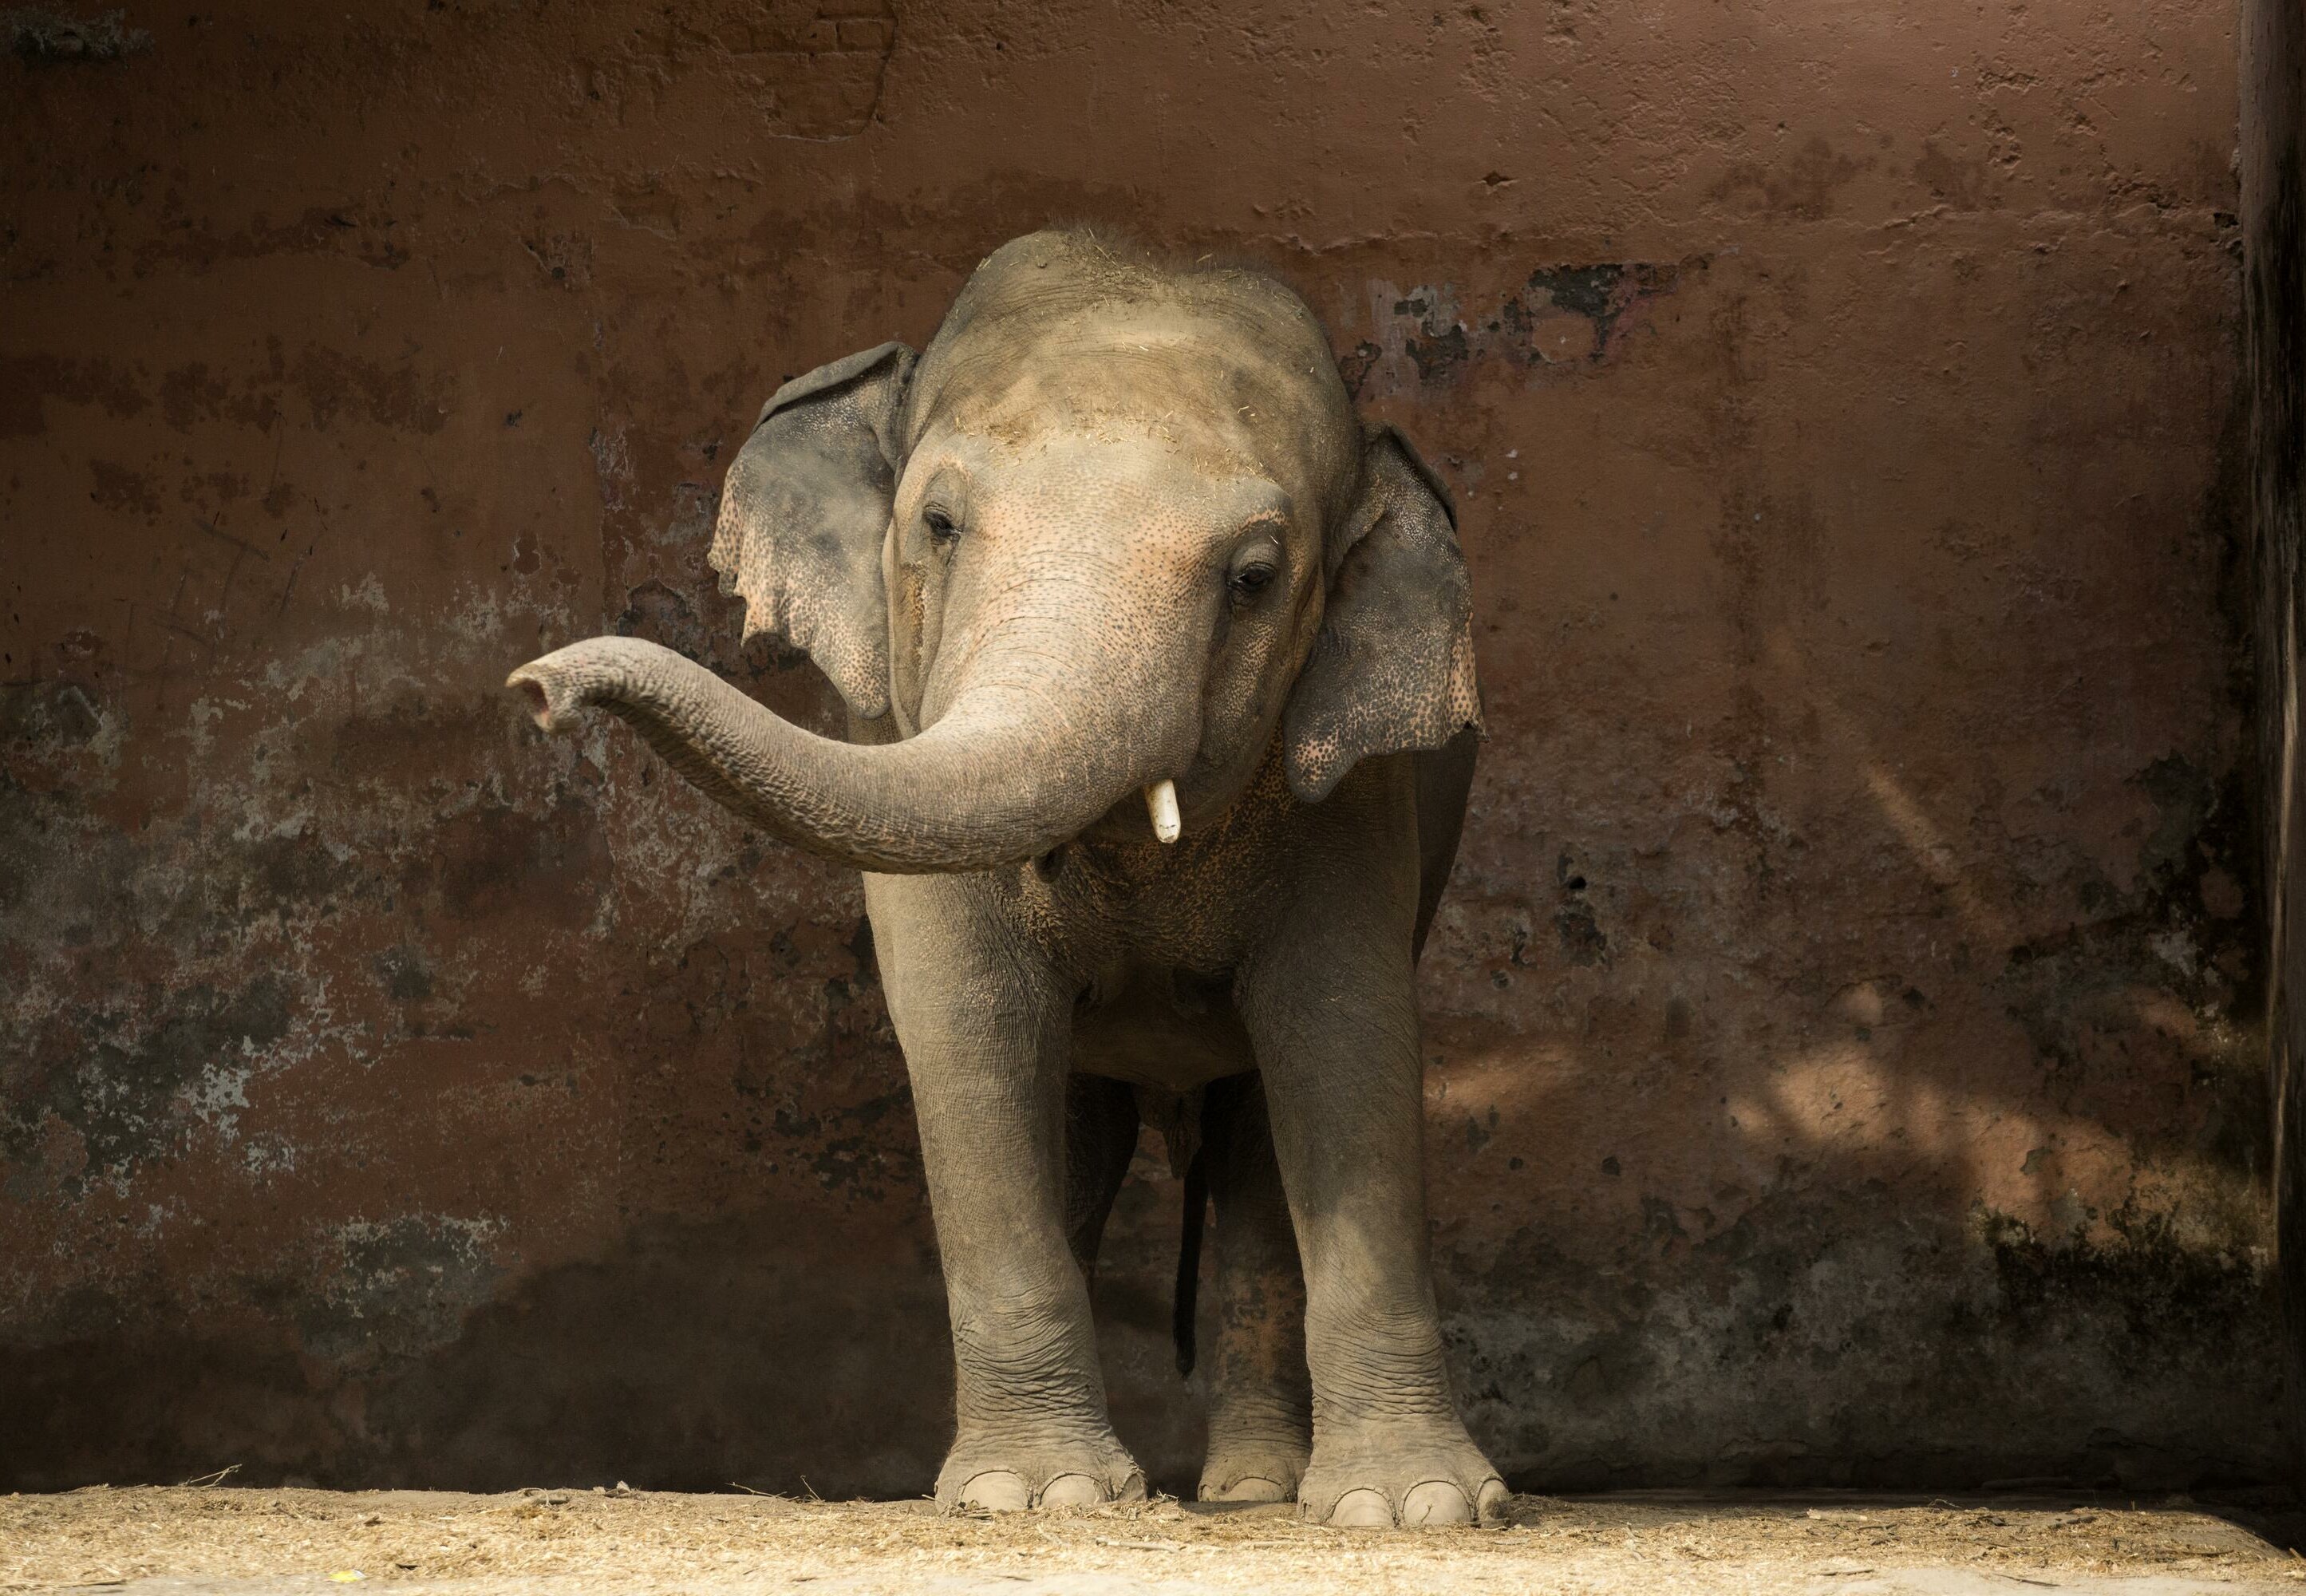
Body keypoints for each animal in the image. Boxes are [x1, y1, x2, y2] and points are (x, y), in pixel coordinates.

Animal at [508, 229, 1502, 1527]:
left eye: (1252, 577)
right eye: (937, 523)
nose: (536, 690)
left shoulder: (1354, 794)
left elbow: (1346, 1033)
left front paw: (1413, 1508)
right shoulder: (891, 725)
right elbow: (969, 1018)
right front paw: (1032, 1497)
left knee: (1245, 1147)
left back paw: (1250, 1491)